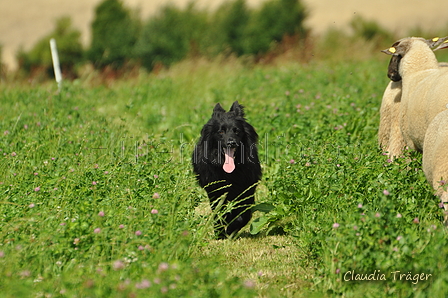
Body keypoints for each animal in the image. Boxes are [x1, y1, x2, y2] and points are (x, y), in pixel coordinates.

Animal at [191, 101, 260, 239]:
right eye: (221, 132)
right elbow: (219, 213)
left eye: (237, 131)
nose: (231, 143)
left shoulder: (246, 190)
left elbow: (244, 215)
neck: (230, 172)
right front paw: (221, 233)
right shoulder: (216, 191)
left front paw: (231, 229)